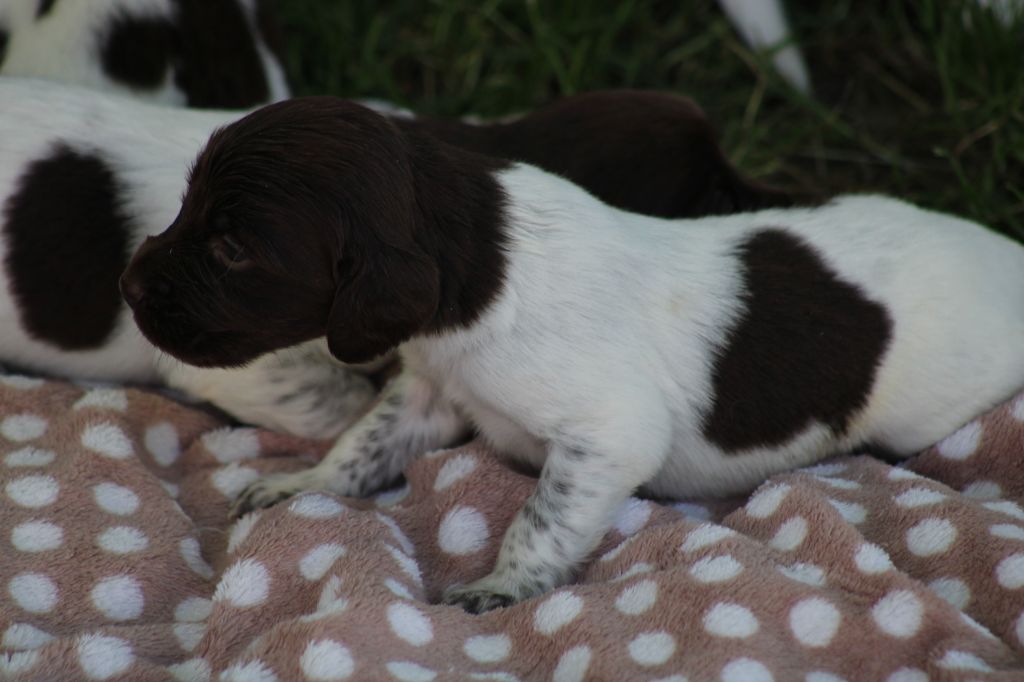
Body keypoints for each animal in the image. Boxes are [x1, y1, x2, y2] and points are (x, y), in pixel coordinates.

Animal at [121, 96, 1024, 610]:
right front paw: (301, 484)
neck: (481, 266)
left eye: (234, 249)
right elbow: (361, 444)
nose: (126, 285)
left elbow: (540, 518)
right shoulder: (429, 393)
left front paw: (502, 588)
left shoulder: (607, 435)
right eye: (187, 204)